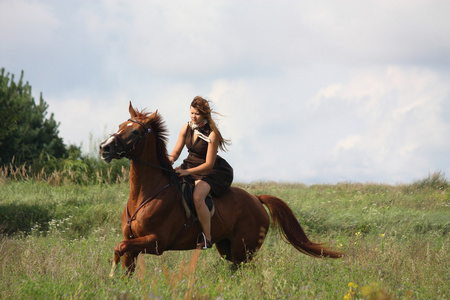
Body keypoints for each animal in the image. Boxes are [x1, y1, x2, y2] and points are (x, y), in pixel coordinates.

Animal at [100, 102, 342, 276]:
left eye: (135, 132)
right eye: (120, 126)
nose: (104, 148)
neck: (146, 193)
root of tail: (256, 198)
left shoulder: (157, 242)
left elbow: (119, 247)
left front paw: (111, 274)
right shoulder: (135, 243)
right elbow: (124, 257)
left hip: (244, 250)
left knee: (246, 272)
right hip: (227, 247)